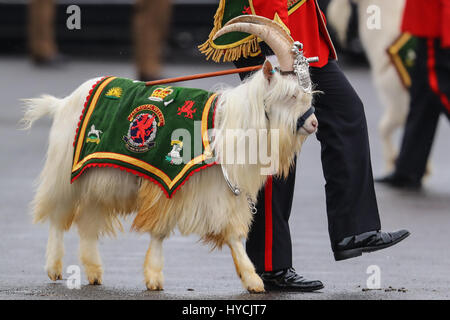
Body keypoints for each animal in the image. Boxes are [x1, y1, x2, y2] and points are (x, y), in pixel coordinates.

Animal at [20, 16, 316, 294]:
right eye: (291, 95)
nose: (313, 124)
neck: (222, 124)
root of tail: (64, 102)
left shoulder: (221, 191)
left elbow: (233, 233)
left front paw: (252, 280)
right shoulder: (166, 181)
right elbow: (159, 230)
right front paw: (154, 278)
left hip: (100, 180)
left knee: (87, 222)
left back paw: (93, 272)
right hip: (67, 171)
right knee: (58, 216)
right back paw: (55, 268)